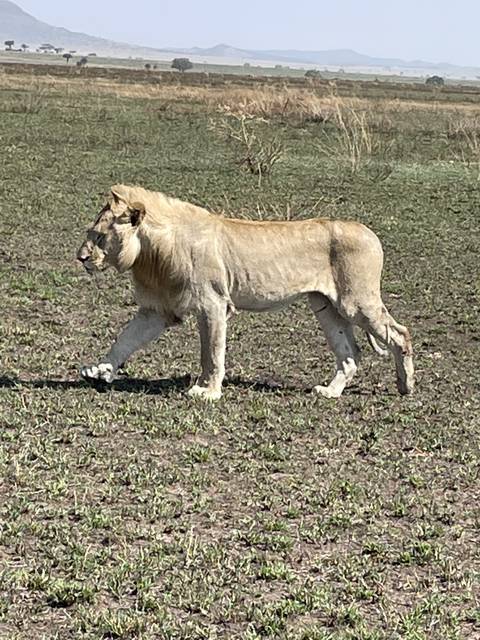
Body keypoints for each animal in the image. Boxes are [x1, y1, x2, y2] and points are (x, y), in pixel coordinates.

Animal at [77, 185, 414, 400]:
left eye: (99, 236)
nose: (80, 258)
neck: (151, 251)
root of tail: (371, 233)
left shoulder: (213, 304)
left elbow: (211, 353)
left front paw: (207, 392)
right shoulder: (158, 310)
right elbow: (125, 339)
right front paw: (100, 370)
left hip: (356, 300)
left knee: (400, 334)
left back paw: (405, 385)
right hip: (326, 306)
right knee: (350, 352)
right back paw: (330, 392)